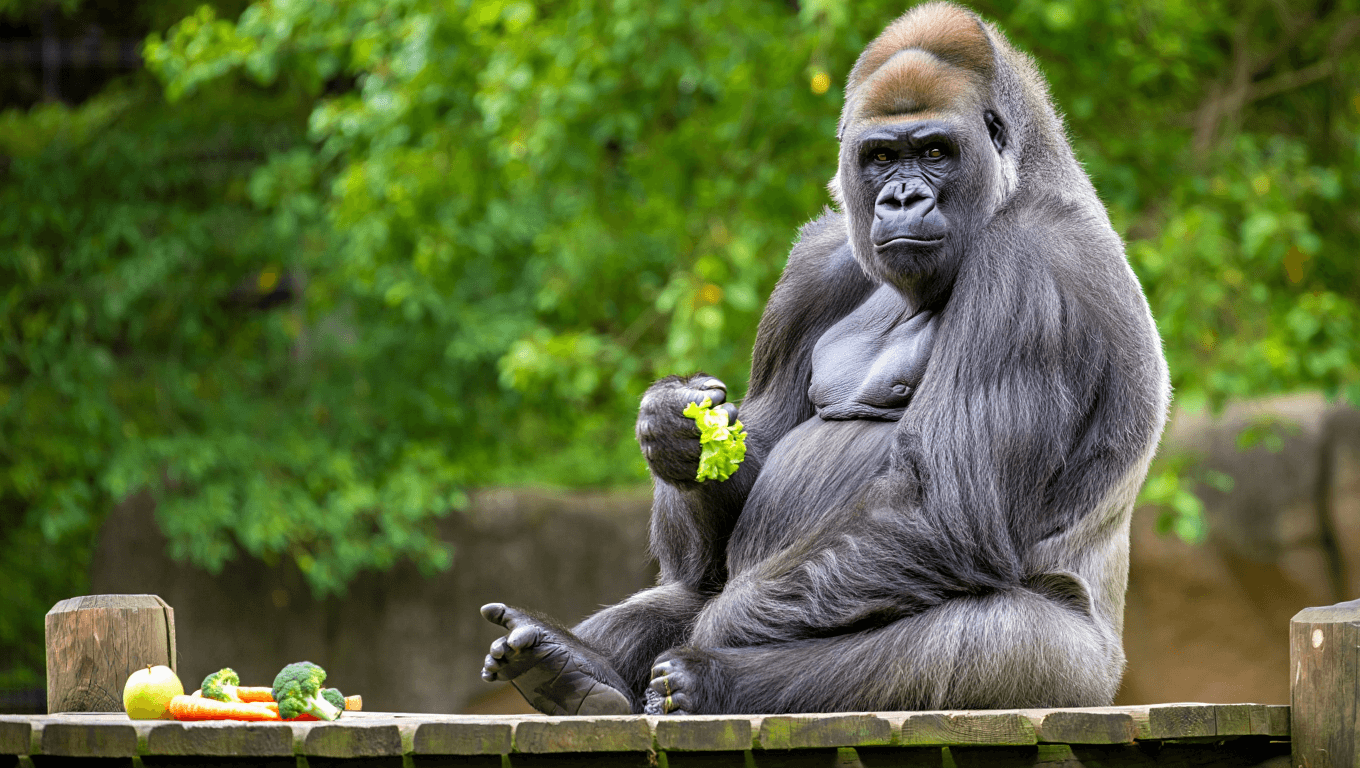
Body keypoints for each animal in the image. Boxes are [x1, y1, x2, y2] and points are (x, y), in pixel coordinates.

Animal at [479, 0, 1170, 715]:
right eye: (882, 156)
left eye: (935, 151)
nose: (902, 197)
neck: (1024, 178)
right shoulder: (817, 261)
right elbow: (716, 539)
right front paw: (676, 431)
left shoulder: (1028, 262)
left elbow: (940, 508)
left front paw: (714, 634)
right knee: (691, 586)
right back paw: (571, 667)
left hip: (1080, 677)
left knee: (971, 637)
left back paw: (709, 680)